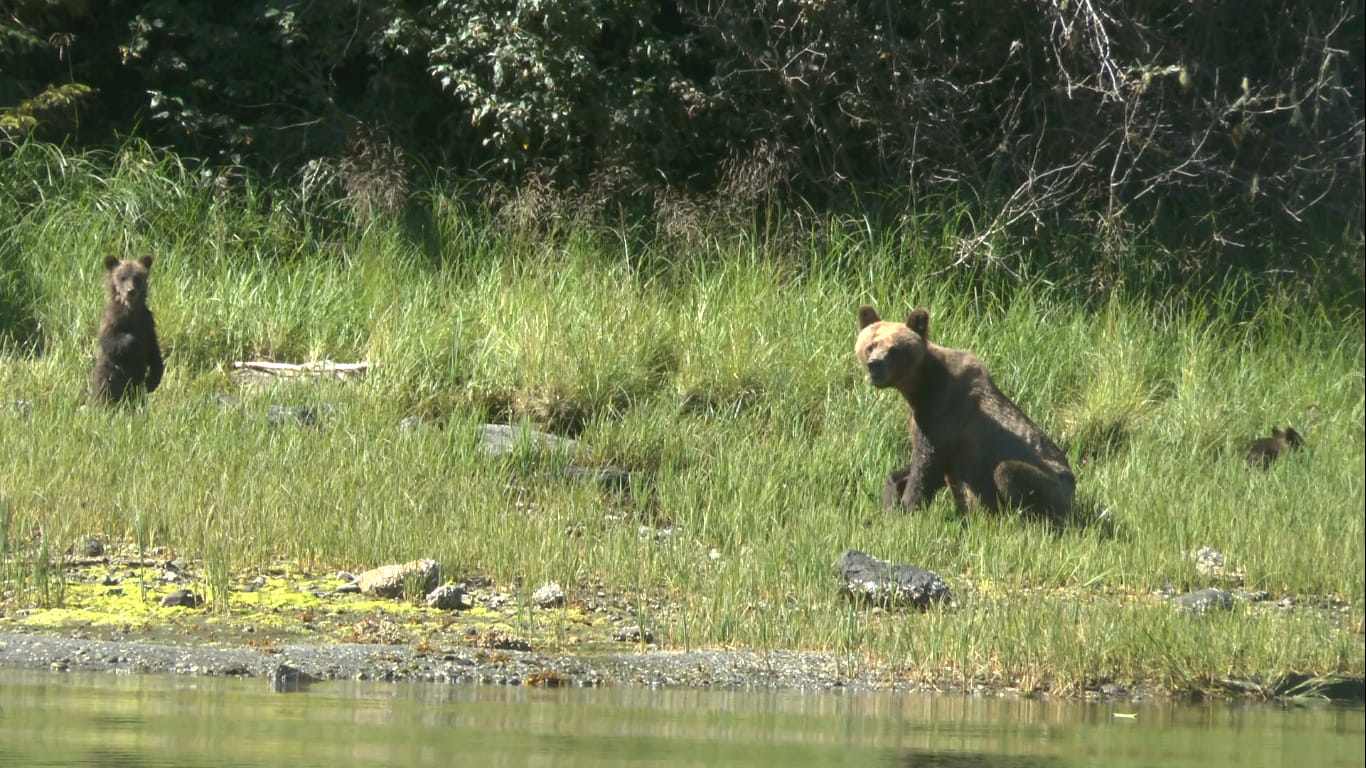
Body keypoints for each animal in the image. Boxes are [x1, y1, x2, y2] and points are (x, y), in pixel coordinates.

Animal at [90, 254, 164, 404]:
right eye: (122, 277)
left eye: (137, 277)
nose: (131, 291)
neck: (131, 309)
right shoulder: (112, 321)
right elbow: (111, 341)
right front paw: (137, 346)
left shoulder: (147, 323)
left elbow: (154, 350)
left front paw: (152, 381)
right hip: (109, 378)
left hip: (134, 391)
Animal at [855, 305, 1075, 518]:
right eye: (870, 345)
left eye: (895, 349)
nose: (875, 365)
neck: (920, 388)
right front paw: (891, 496)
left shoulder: (944, 413)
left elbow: (927, 466)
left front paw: (906, 509)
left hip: (1053, 486)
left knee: (1008, 471)